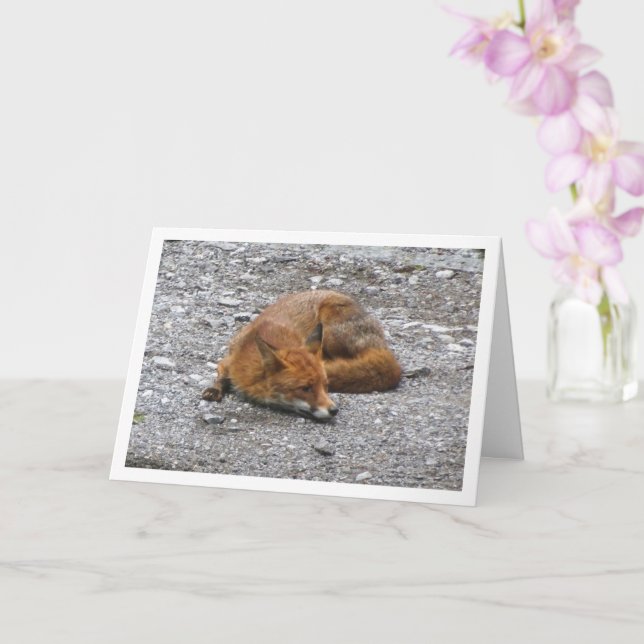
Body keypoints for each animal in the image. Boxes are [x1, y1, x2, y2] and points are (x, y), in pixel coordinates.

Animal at [201, 290, 402, 421]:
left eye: (325, 386)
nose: (334, 410)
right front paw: (215, 389)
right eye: (306, 388)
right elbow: (221, 376)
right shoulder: (227, 360)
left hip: (331, 330)